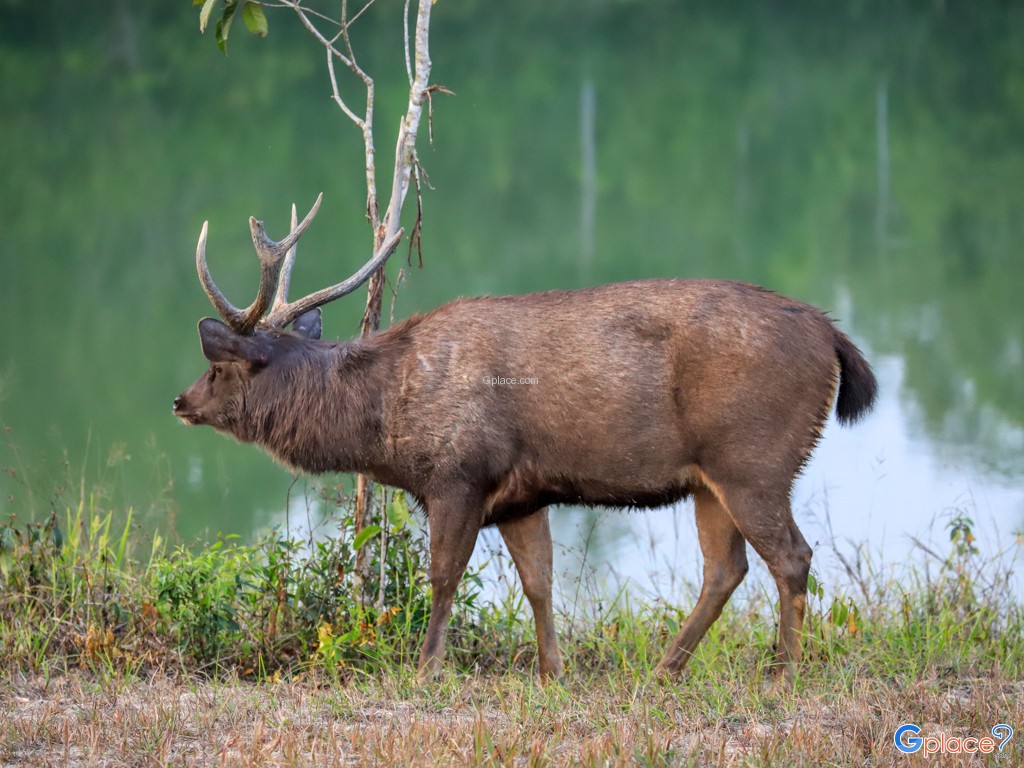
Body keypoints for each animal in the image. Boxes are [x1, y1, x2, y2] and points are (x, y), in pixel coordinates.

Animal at [172, 193, 876, 684]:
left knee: (792, 557)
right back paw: (663, 670)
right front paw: (551, 672)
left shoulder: (460, 474)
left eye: (219, 367)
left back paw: (781, 677)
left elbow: (443, 576)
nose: (180, 401)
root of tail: (834, 338)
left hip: (754, 459)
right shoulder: (521, 496)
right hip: (711, 478)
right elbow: (540, 582)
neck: (388, 425)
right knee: (725, 567)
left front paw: (425, 669)